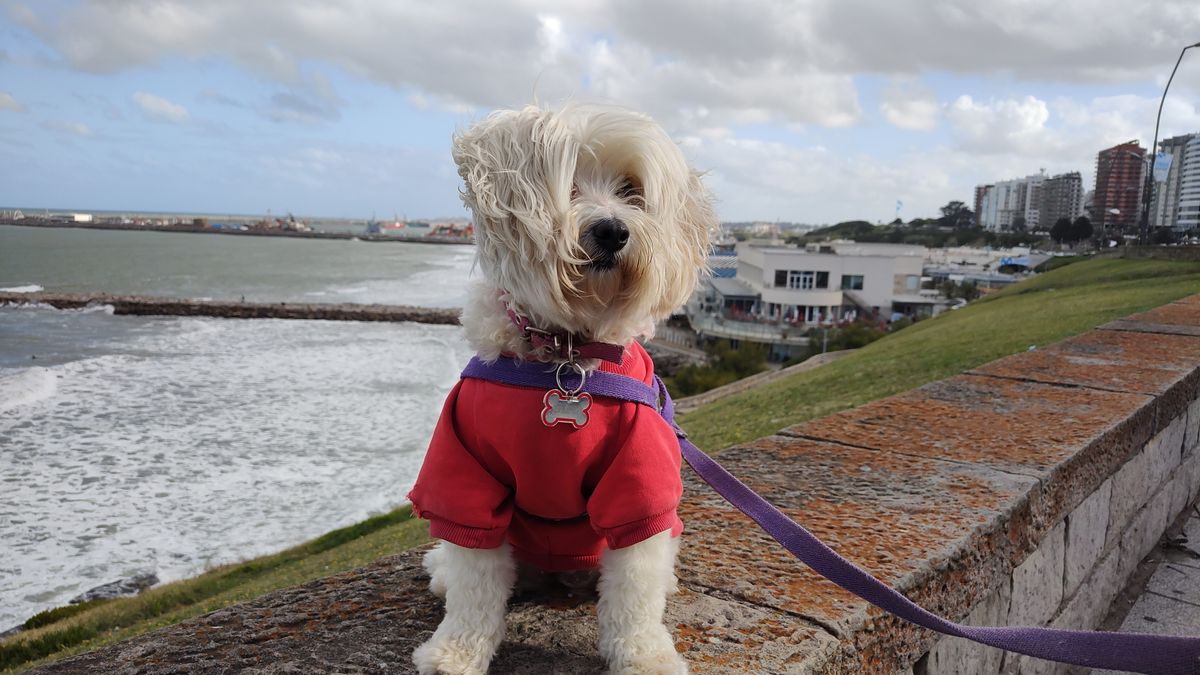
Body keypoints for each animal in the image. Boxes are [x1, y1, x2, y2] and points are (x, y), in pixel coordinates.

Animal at [408, 102, 715, 667]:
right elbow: (474, 581)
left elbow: (635, 583)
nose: (613, 231)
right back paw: (442, 571)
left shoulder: (639, 477)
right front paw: (456, 651)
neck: (565, 352)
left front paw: (643, 657)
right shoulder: (465, 464)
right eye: (567, 185)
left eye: (631, 190)